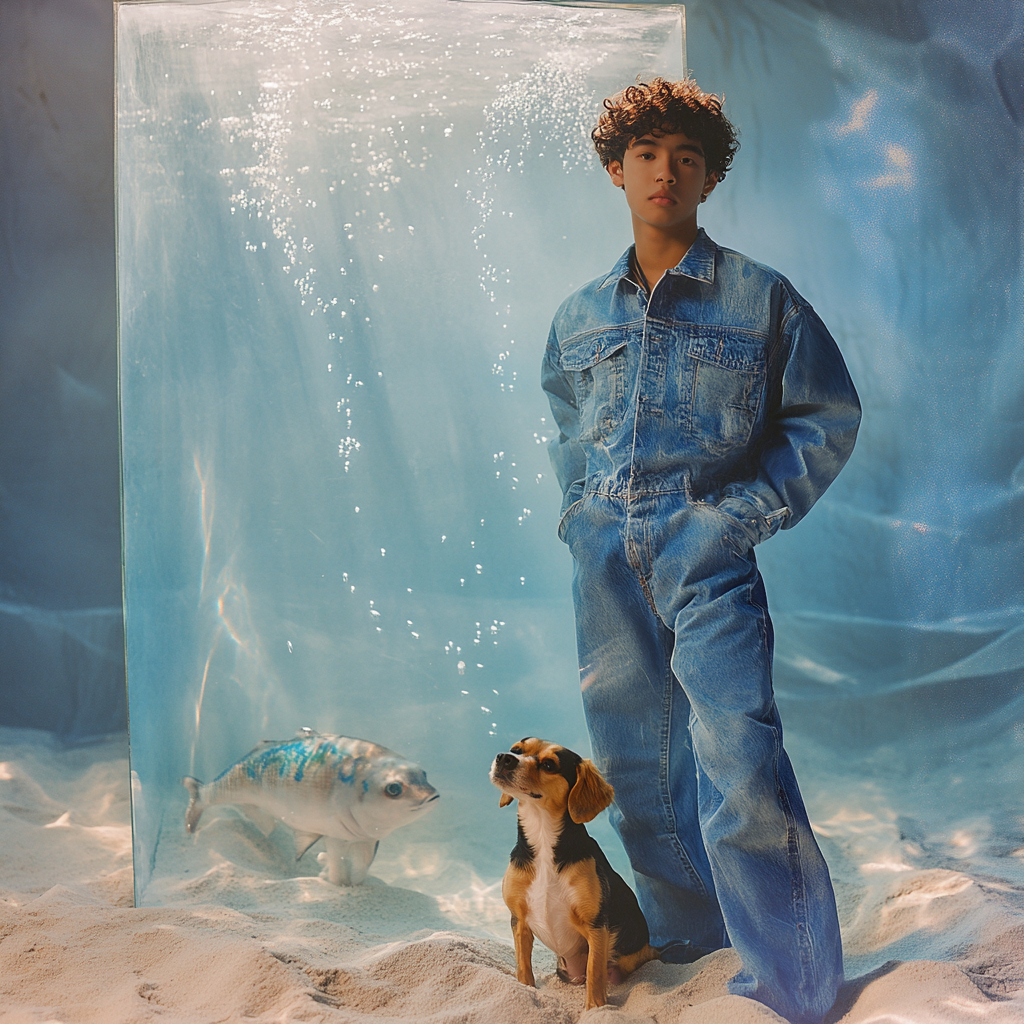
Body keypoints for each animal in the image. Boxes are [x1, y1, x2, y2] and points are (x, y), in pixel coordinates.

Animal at [491, 737, 659, 1007]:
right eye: (516, 749)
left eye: (549, 765)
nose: (504, 757)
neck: (542, 837)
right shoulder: (519, 921)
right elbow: (523, 969)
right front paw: (526, 994)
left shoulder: (595, 927)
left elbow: (595, 974)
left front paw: (595, 1009)